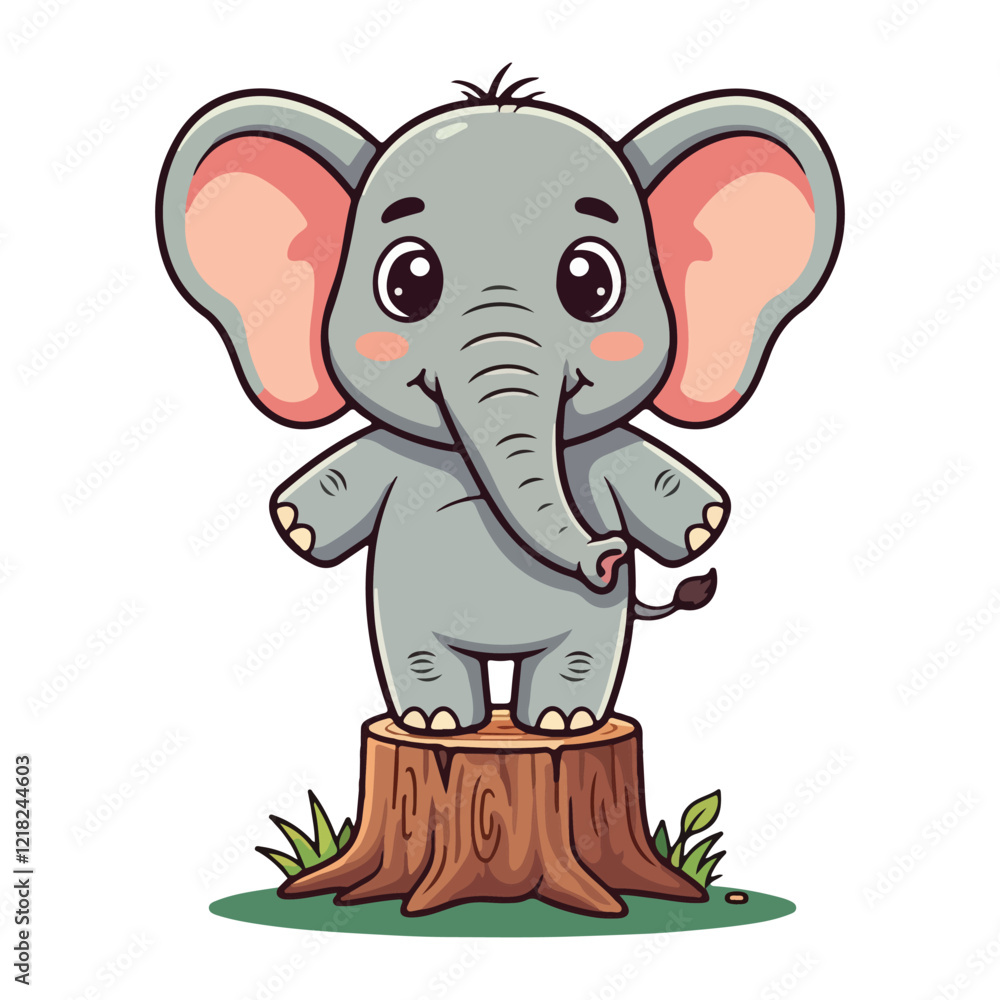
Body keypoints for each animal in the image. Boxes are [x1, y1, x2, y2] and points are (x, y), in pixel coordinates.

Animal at [157, 68, 842, 736]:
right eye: (407, 281)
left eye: (592, 281)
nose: (611, 555)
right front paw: (296, 526)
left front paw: (702, 526)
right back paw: (436, 721)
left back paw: (563, 720)